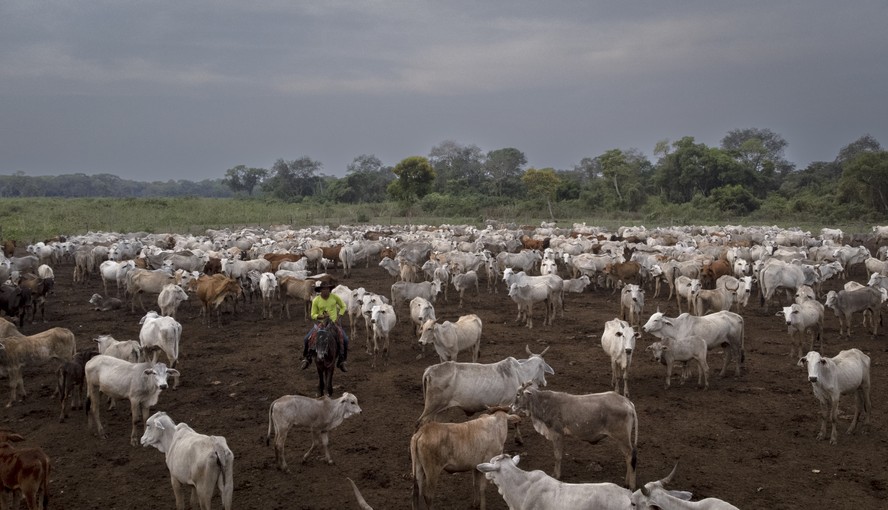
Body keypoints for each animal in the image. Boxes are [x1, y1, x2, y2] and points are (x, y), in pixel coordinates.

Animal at [418, 344, 556, 424]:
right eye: (543, 367)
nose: (544, 382)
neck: (520, 372)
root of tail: (429, 370)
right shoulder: (507, 403)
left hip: (439, 410)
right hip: (431, 408)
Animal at [506, 384, 640, 488]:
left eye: (518, 394)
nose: (511, 406)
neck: (543, 404)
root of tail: (627, 402)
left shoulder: (557, 433)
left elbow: (558, 456)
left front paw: (556, 475)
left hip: (622, 436)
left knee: (630, 456)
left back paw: (631, 485)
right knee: (628, 457)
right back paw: (626, 483)